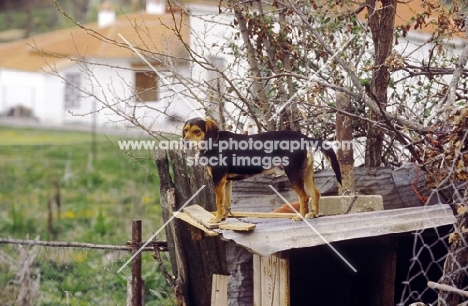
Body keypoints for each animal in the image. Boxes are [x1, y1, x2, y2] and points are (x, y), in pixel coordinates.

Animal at [182, 117, 340, 222]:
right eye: (185, 131)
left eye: (197, 131)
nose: (184, 142)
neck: (213, 142)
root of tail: (303, 137)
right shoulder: (226, 182)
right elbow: (226, 203)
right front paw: (224, 218)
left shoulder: (218, 179)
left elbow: (218, 202)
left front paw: (217, 219)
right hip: (306, 173)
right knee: (316, 193)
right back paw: (314, 214)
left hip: (293, 174)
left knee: (304, 197)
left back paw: (300, 216)